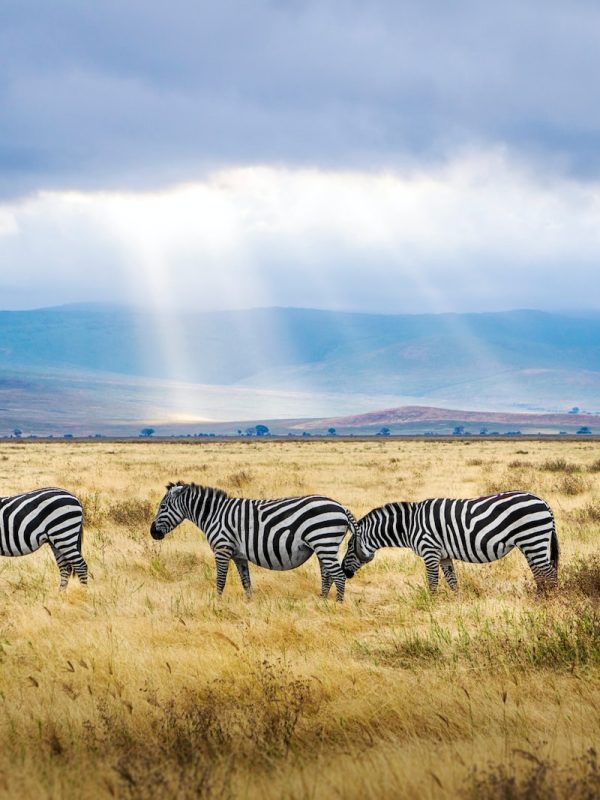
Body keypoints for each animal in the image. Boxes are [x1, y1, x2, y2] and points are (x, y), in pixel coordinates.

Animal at [150, 482, 358, 601]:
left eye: (163, 506)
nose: (152, 533)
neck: (214, 514)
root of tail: (341, 507)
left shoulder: (222, 549)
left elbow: (221, 579)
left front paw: (217, 603)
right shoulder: (239, 555)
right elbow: (246, 581)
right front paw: (248, 604)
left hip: (324, 541)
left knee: (338, 575)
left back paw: (337, 605)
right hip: (323, 546)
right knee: (327, 574)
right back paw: (321, 601)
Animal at [342, 491, 559, 592]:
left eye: (350, 546)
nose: (344, 571)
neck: (409, 525)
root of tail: (543, 502)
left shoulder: (430, 551)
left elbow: (433, 582)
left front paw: (431, 606)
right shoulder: (444, 555)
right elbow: (453, 582)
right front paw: (457, 604)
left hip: (533, 539)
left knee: (548, 573)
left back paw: (549, 601)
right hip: (531, 543)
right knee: (540, 573)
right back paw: (540, 598)